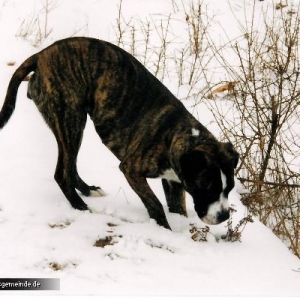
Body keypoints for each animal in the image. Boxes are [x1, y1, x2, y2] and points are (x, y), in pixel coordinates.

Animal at [0, 37, 239, 230]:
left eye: (229, 188)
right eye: (208, 187)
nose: (224, 216)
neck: (180, 135)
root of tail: (41, 55)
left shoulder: (173, 182)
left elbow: (178, 208)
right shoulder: (132, 169)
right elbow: (155, 204)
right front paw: (164, 229)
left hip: (72, 124)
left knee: (70, 165)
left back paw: (87, 190)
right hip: (71, 119)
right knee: (62, 173)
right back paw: (80, 206)